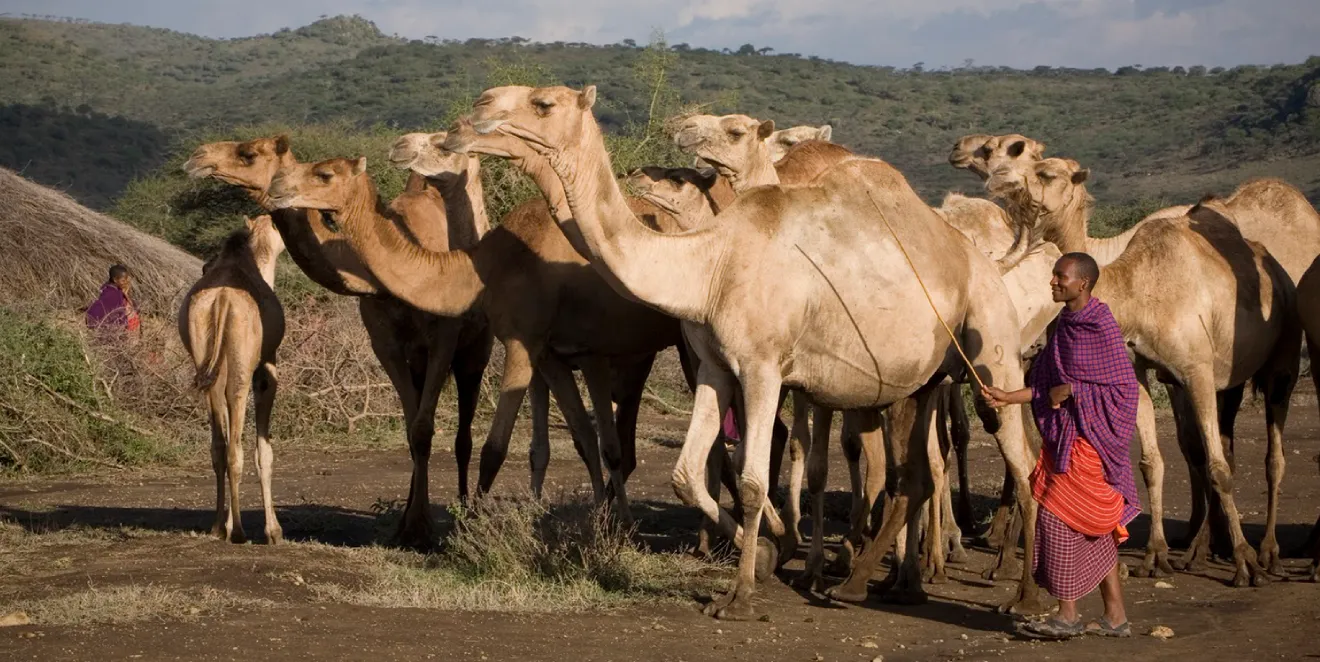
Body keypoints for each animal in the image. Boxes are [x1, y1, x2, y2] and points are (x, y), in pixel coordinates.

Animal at [179, 215, 286, 544]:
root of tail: (222, 299)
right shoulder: (266, 367)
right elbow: (264, 452)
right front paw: (273, 531)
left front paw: (224, 525)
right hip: (240, 369)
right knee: (235, 448)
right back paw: (238, 531)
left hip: (206, 361)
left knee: (219, 447)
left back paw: (217, 527)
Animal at [444, 85, 1041, 619]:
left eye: (543, 103)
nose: (470, 113)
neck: (709, 262)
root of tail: (983, 259)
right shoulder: (714, 367)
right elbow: (687, 474)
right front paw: (775, 548)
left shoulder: (762, 368)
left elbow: (753, 481)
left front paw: (741, 595)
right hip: (921, 381)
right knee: (915, 474)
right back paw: (871, 585)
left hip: (992, 346)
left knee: (1021, 458)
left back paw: (1023, 598)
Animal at [988, 156, 1300, 586]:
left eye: (1047, 173)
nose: (1002, 180)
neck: (1136, 292)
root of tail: (1280, 274)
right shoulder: (1138, 369)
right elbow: (1152, 462)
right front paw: (1155, 554)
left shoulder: (1197, 369)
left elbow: (1218, 467)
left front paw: (1244, 562)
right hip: (1232, 380)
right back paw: (1200, 550)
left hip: (1283, 360)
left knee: (1273, 457)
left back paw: (1267, 553)